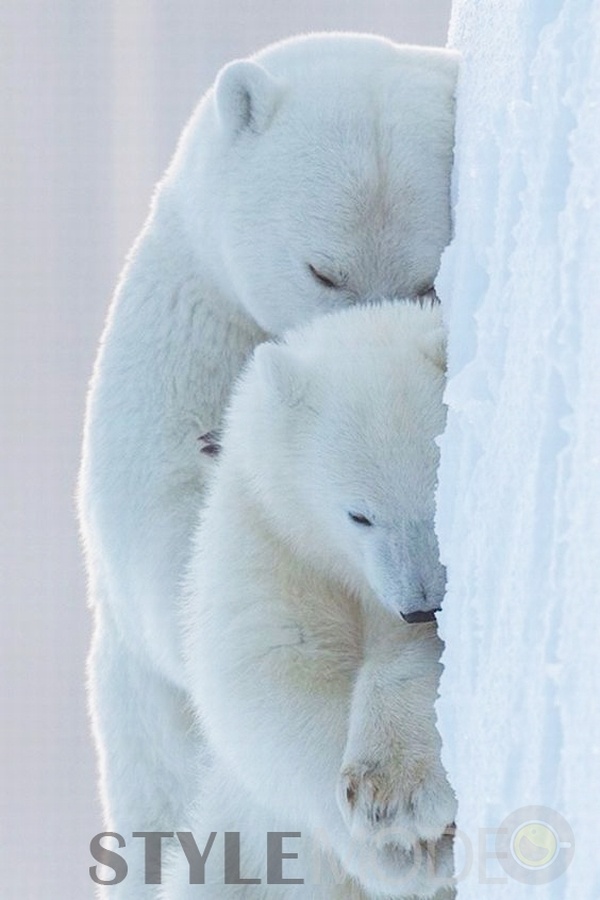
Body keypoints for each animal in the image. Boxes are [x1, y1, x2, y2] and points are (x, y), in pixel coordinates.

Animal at [166, 298, 458, 896]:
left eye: (440, 492)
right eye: (359, 515)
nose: (422, 603)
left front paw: (403, 793)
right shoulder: (270, 533)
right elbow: (273, 677)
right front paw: (404, 841)